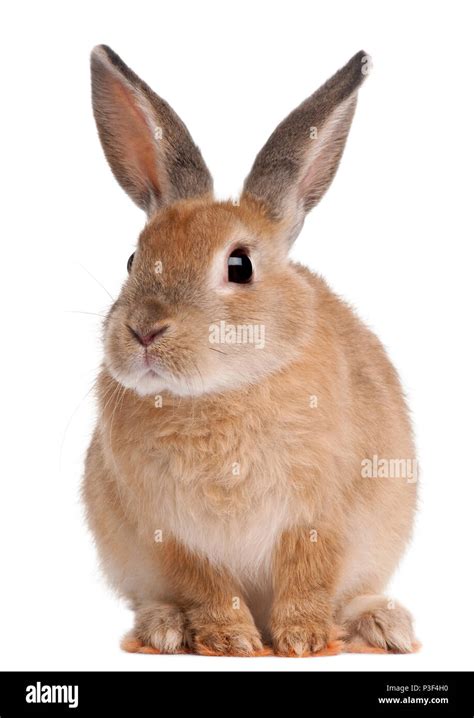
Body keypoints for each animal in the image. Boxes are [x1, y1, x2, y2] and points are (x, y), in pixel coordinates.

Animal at [83, 42, 416, 656]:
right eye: (133, 260)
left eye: (239, 265)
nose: (144, 331)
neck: (220, 393)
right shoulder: (175, 534)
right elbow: (206, 586)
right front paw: (231, 640)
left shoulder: (320, 518)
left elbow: (309, 576)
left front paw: (303, 640)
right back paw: (162, 629)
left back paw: (385, 626)